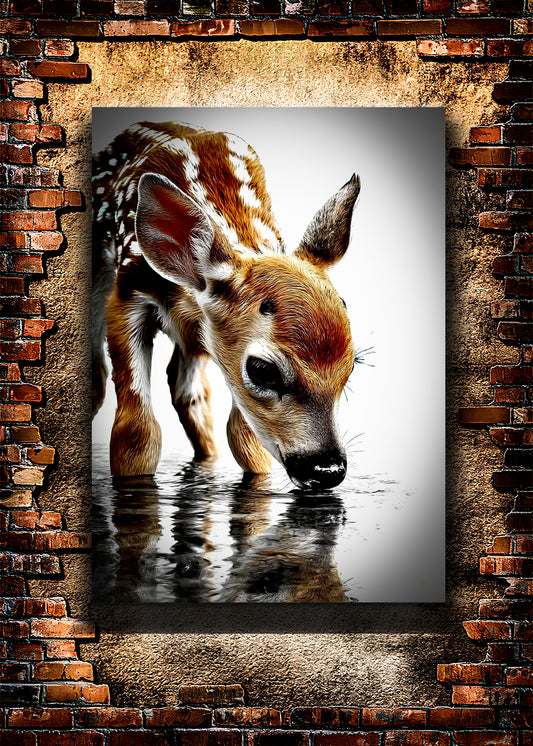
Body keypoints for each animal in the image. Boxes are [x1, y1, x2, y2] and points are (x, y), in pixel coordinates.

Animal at [92, 121, 360, 492]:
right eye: (263, 370)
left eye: (351, 366)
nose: (328, 469)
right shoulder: (128, 292)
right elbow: (136, 435)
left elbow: (245, 440)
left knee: (187, 391)